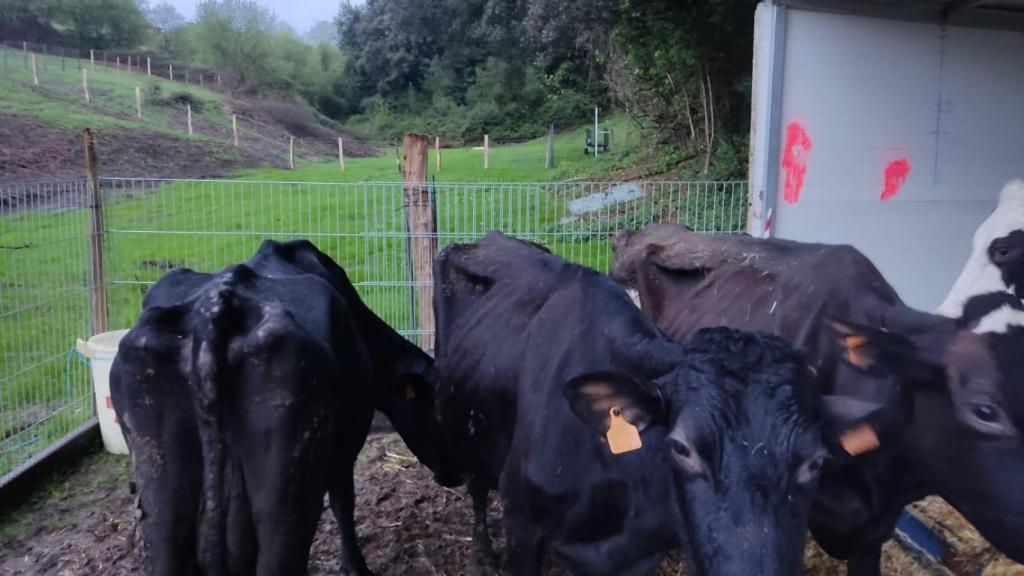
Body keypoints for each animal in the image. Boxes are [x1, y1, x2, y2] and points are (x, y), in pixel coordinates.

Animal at [111, 239, 459, 576]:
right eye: (438, 412)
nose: (455, 475)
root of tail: (214, 308)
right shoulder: (345, 446)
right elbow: (343, 504)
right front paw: (355, 568)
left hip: (162, 506)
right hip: (283, 503)